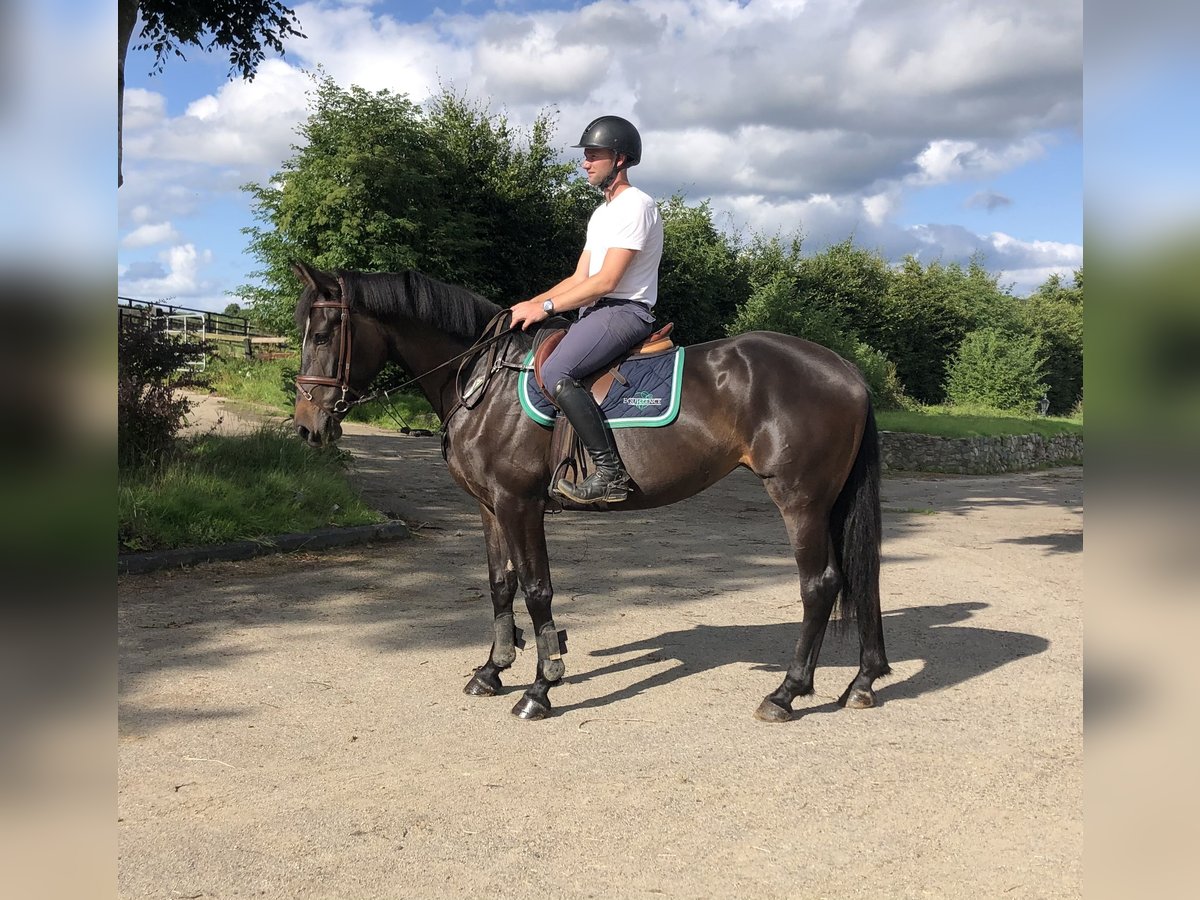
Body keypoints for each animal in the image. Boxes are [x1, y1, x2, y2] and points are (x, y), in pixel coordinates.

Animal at [290, 262, 892, 724]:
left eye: (321, 336)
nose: (306, 428)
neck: (485, 381)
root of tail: (845, 369)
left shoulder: (518, 504)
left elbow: (537, 590)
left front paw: (541, 686)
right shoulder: (489, 506)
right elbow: (501, 585)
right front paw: (492, 670)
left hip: (800, 500)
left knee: (821, 584)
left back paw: (786, 693)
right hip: (828, 501)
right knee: (861, 577)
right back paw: (862, 683)